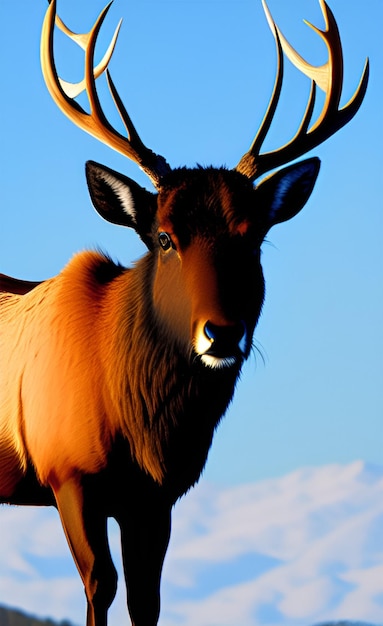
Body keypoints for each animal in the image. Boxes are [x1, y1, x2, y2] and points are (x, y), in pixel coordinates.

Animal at [0, 1, 368, 624]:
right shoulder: (67, 473)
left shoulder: (157, 497)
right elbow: (100, 585)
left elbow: (147, 598)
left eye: (254, 237)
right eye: (165, 237)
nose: (221, 333)